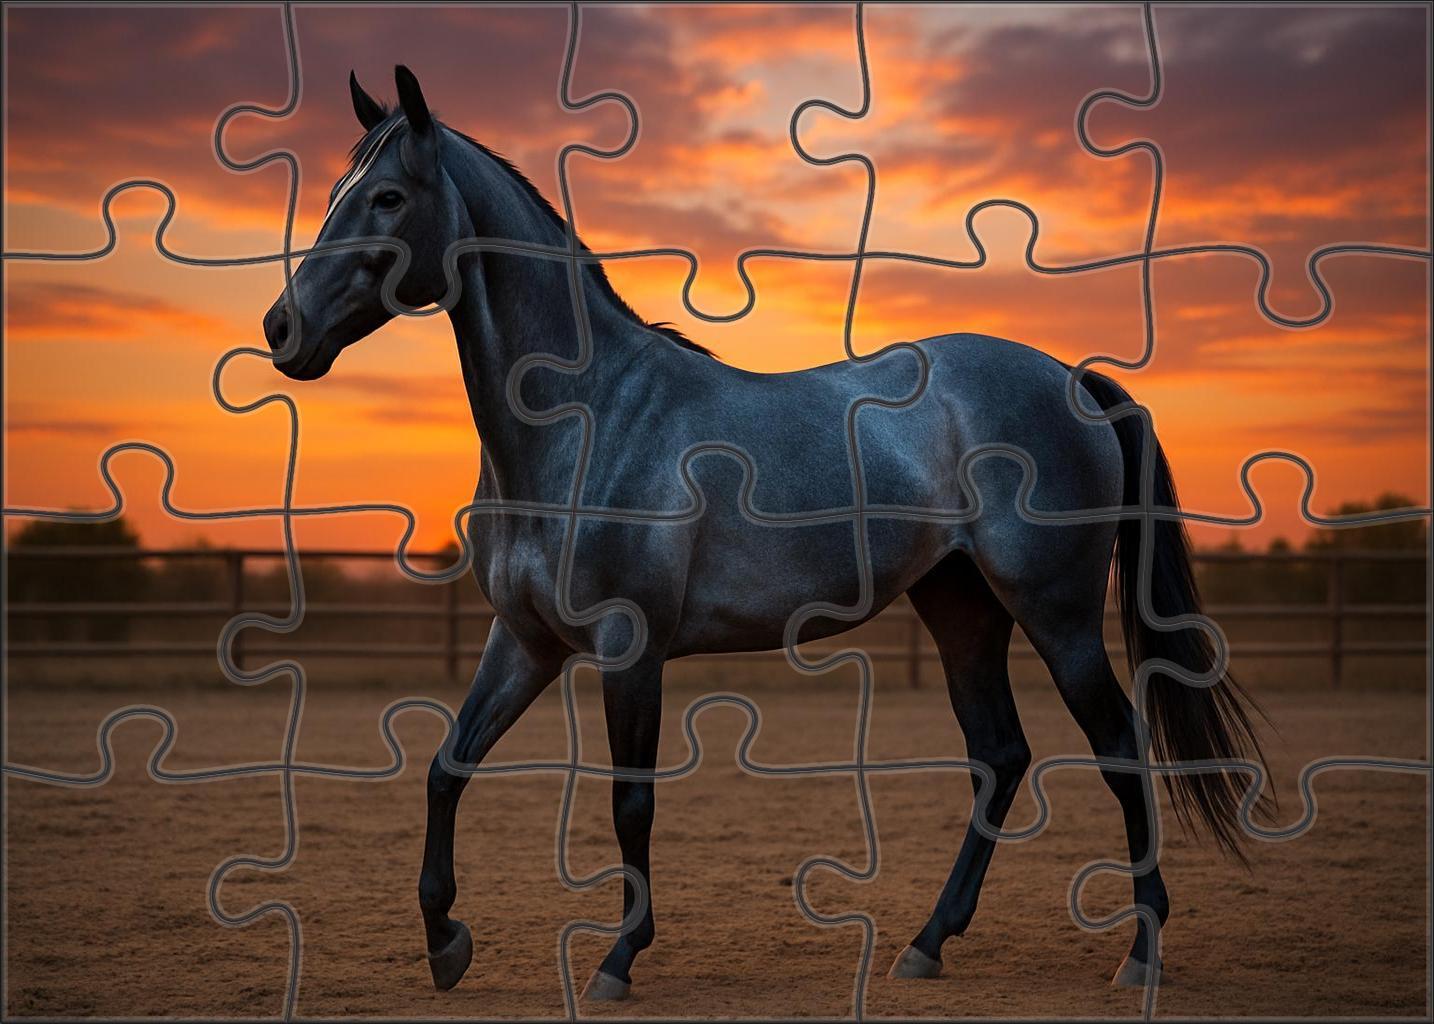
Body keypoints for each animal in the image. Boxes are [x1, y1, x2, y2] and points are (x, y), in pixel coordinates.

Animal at [262, 66, 1268, 1001]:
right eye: (337, 189)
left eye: (389, 198)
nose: (283, 328)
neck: (589, 417)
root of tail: (1075, 382)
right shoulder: (527, 642)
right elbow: (445, 768)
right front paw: (445, 942)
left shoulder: (630, 647)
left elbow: (630, 804)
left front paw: (620, 959)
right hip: (960, 609)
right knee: (1000, 755)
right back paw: (926, 942)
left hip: (1055, 616)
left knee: (1119, 748)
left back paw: (1139, 953)